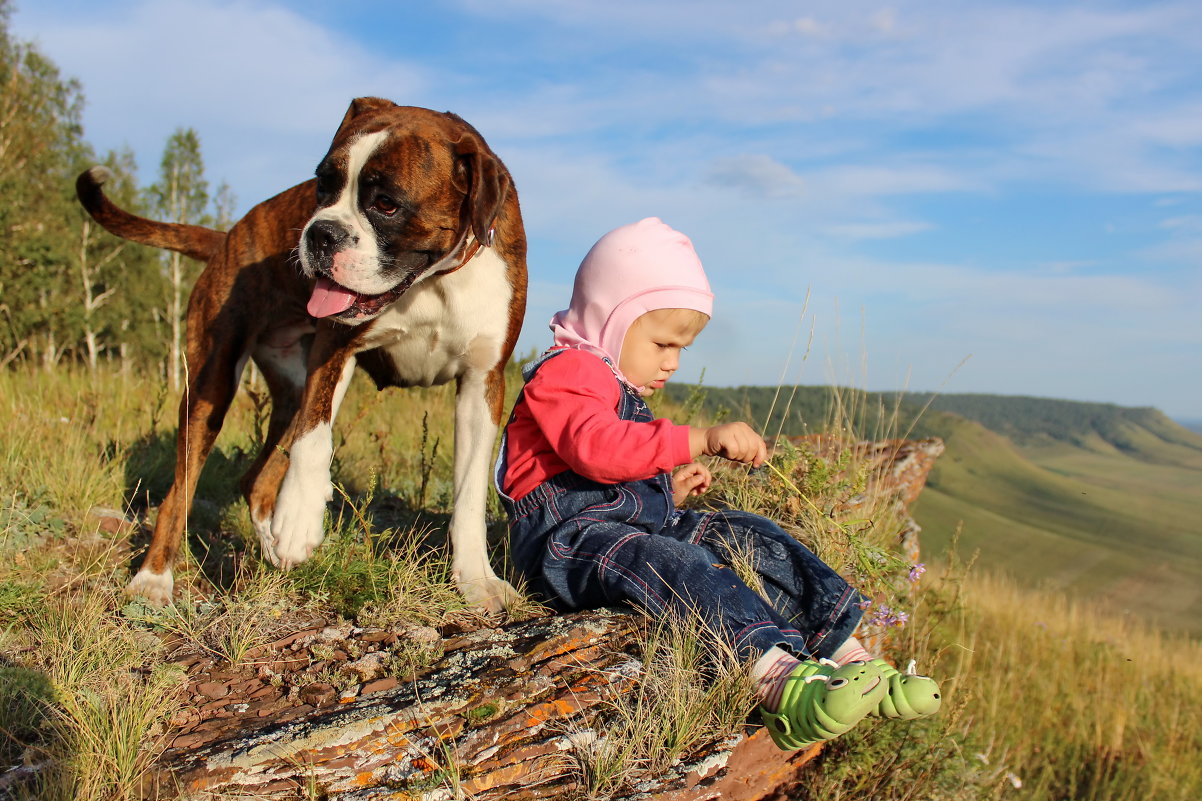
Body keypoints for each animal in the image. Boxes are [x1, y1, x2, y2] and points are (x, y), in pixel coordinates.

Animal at [76, 101, 526, 610]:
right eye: (322, 186)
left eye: (386, 204)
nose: (319, 234)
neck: (431, 279)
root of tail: (229, 236)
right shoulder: (334, 350)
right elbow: (314, 441)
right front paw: (297, 521)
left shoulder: (482, 383)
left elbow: (469, 490)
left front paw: (476, 579)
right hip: (212, 385)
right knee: (182, 487)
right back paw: (155, 578)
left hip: (286, 391)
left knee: (256, 478)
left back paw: (270, 547)